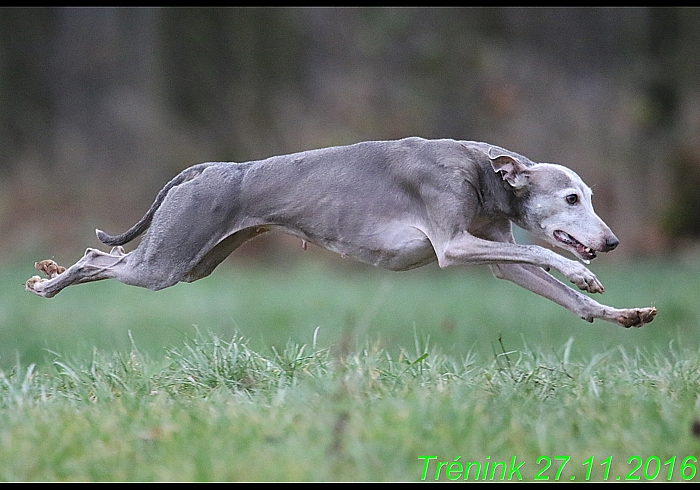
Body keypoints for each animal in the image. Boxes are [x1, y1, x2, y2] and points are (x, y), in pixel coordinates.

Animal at [23, 137, 656, 330]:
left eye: (590, 196)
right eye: (571, 198)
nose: (612, 243)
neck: (483, 172)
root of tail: (205, 170)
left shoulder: (496, 253)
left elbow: (552, 286)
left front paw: (621, 312)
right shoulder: (454, 245)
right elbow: (550, 261)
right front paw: (582, 270)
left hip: (196, 259)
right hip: (165, 262)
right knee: (95, 258)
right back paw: (47, 282)